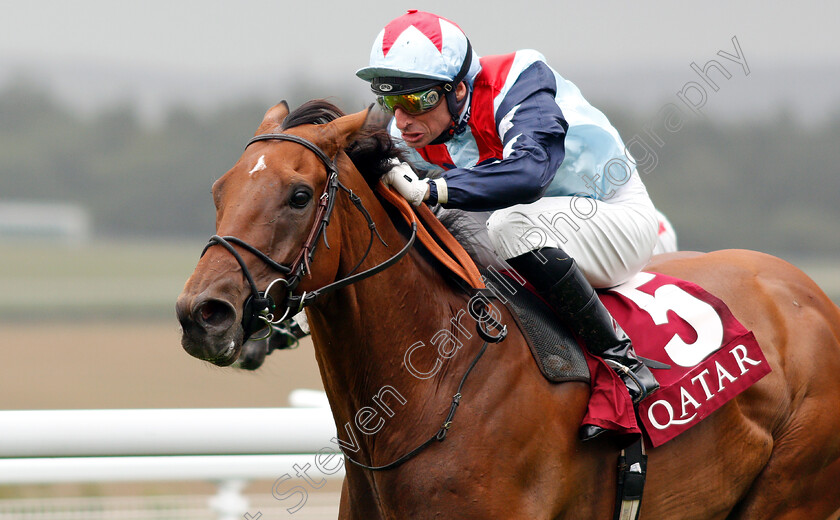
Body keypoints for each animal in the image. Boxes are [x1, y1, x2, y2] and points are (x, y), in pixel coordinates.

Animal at [176, 99, 840, 516]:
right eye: (217, 190)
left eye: (298, 194)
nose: (202, 315)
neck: (436, 382)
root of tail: (809, 295)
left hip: (791, 496)